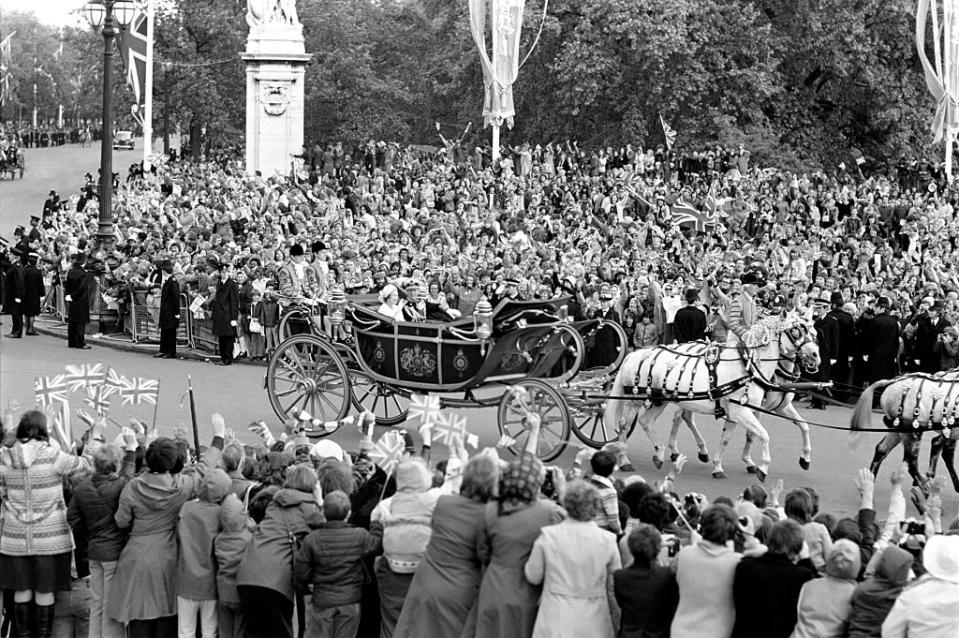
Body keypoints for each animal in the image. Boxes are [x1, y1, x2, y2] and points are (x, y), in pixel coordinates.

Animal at [608, 312, 816, 482]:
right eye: (795, 331)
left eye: (811, 330)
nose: (815, 355)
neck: (747, 367)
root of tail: (634, 354)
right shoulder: (742, 412)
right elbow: (762, 435)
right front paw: (762, 467)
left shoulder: (740, 411)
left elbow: (729, 438)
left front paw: (718, 466)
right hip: (634, 400)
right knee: (625, 426)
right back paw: (625, 460)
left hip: (661, 400)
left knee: (648, 421)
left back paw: (662, 453)